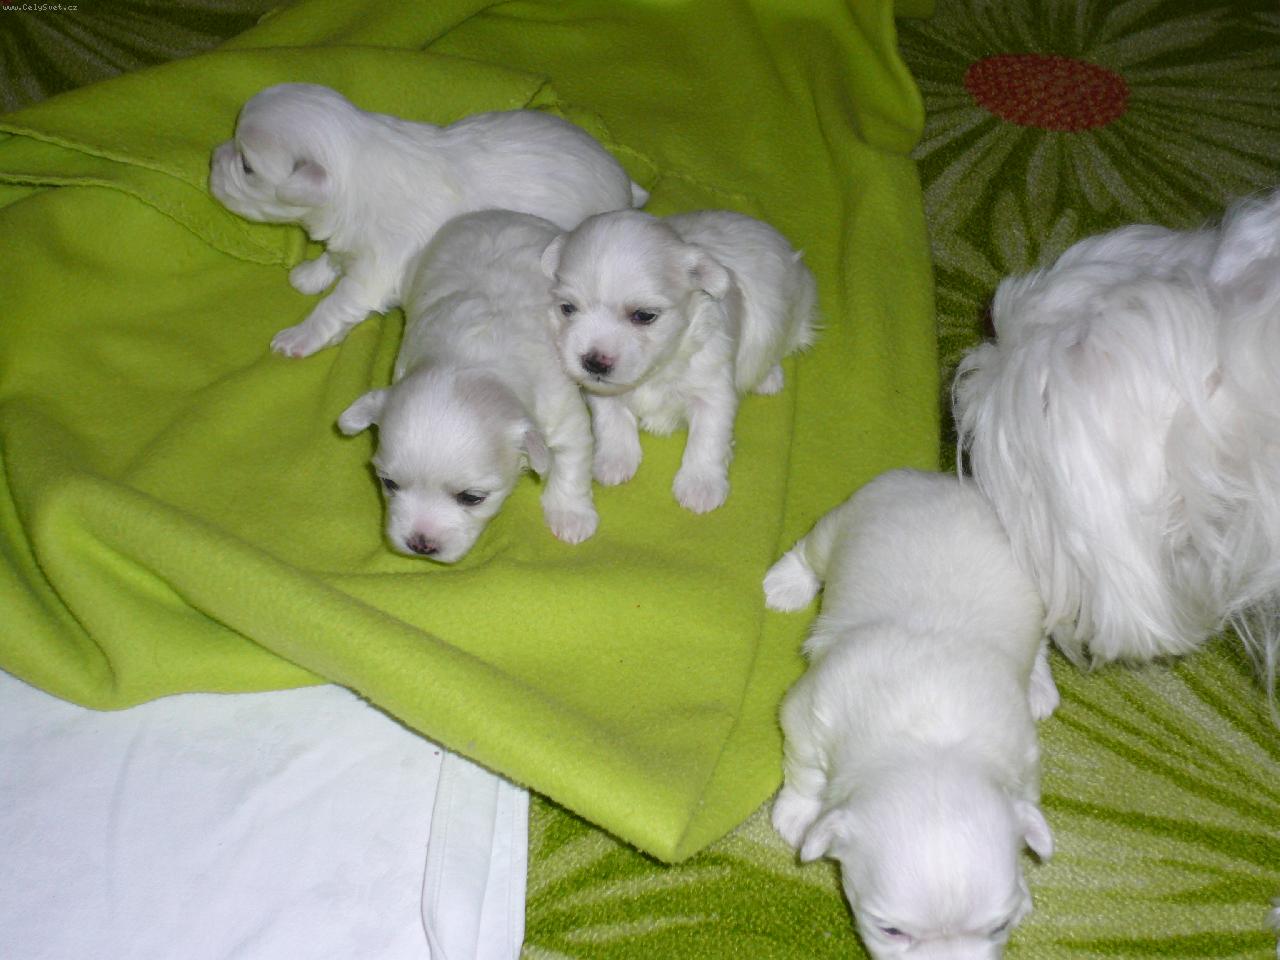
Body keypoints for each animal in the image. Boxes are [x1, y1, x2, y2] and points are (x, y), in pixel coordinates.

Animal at [209, 83, 647, 358]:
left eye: (247, 166)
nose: (213, 159)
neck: (355, 165)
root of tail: (625, 183)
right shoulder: (352, 243)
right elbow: (334, 256)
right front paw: (312, 274)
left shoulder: (375, 272)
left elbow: (335, 304)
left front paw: (300, 335)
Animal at [337, 211, 597, 563]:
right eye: (389, 484)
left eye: (472, 497)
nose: (420, 544)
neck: (468, 361)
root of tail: (499, 213)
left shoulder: (562, 414)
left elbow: (573, 460)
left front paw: (571, 517)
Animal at [540, 208, 817, 513]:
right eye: (568, 308)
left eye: (644, 315)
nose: (594, 362)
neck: (658, 369)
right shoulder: (601, 390)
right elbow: (610, 417)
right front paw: (614, 460)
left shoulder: (713, 390)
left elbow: (708, 437)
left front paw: (701, 486)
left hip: (791, 316)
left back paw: (768, 378)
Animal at [763, 469, 1057, 958]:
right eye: (890, 930)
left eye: (999, 926)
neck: (929, 742)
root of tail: (940, 480)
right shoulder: (809, 712)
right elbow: (804, 770)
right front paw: (799, 816)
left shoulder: (1023, 756)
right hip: (844, 523)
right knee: (810, 551)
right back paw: (785, 585)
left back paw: (1040, 685)